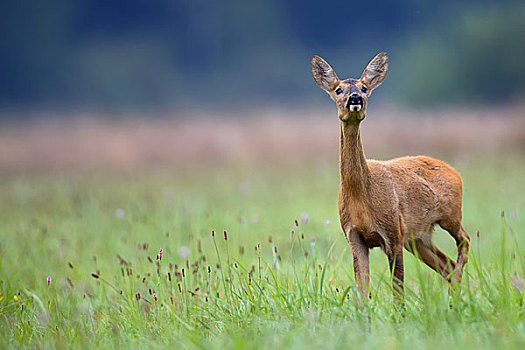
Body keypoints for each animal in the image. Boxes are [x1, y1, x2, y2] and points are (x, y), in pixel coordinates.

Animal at [312, 52, 470, 300]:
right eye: (338, 89)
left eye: (364, 87)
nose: (355, 98)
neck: (362, 197)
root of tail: (454, 170)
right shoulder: (354, 237)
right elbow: (362, 291)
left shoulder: (393, 233)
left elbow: (398, 291)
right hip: (418, 238)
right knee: (447, 265)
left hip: (451, 215)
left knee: (465, 241)